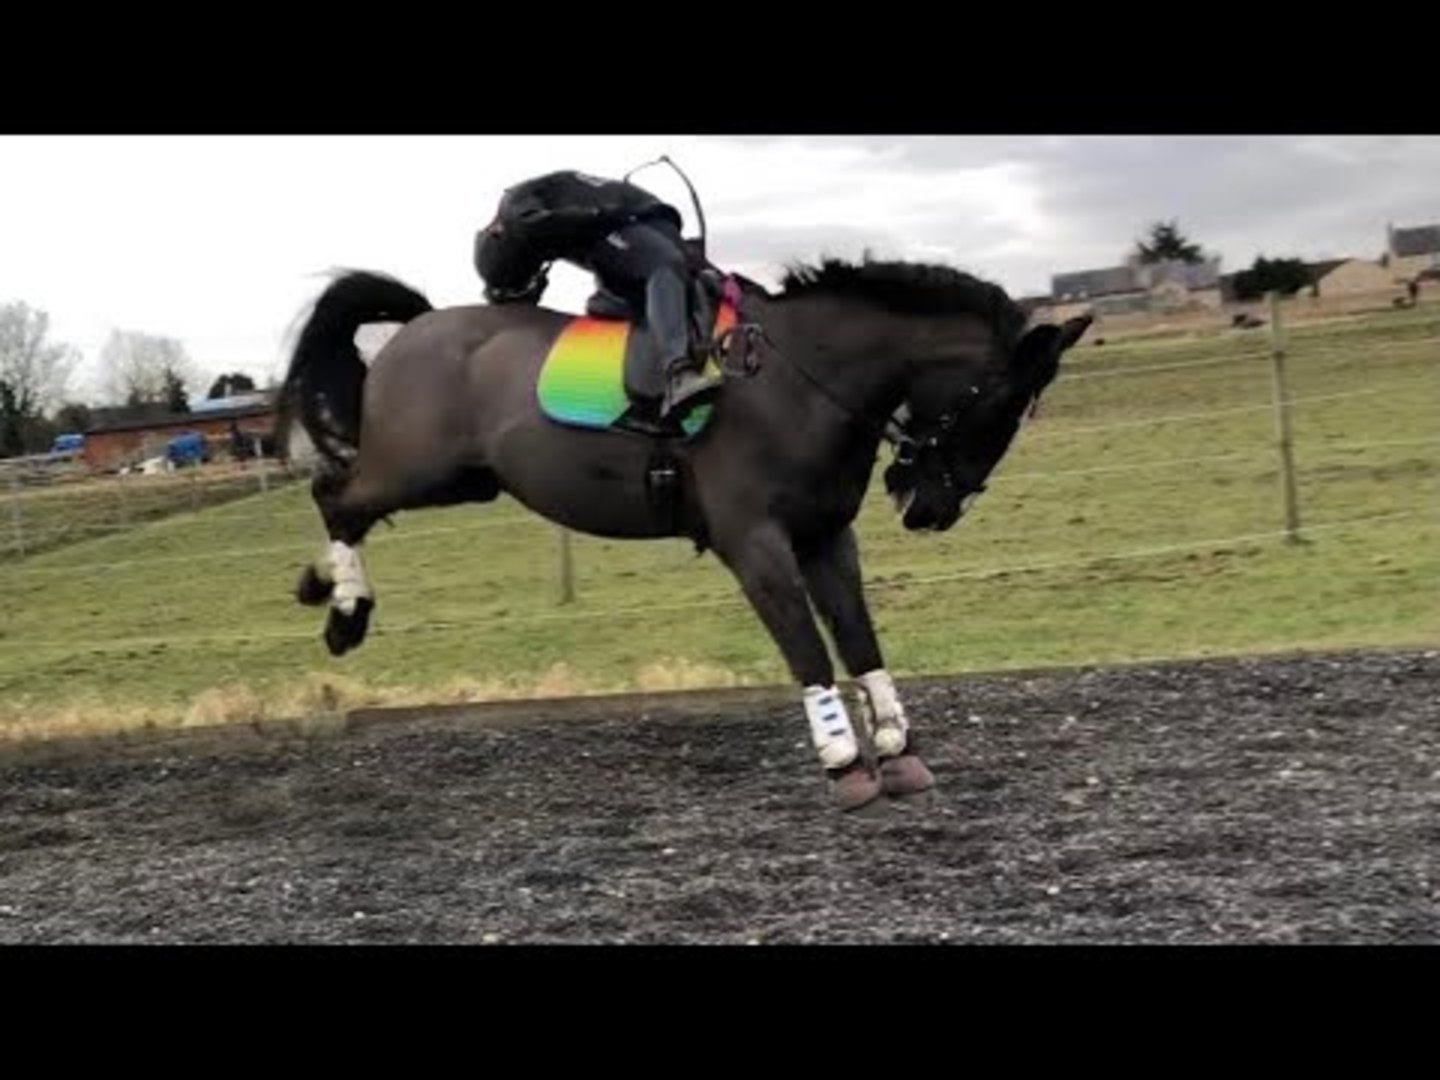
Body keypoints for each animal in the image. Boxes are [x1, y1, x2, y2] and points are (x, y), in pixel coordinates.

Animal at [277, 256, 1092, 813]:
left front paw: (895, 746)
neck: (796, 381)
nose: (933, 509)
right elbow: (807, 648)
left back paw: (323, 587)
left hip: (464, 481)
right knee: (335, 496)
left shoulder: (827, 538)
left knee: (346, 505)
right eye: (997, 407)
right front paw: (843, 759)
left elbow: (859, 638)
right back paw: (344, 612)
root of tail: (415, 325)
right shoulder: (756, 546)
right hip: (418, 470)